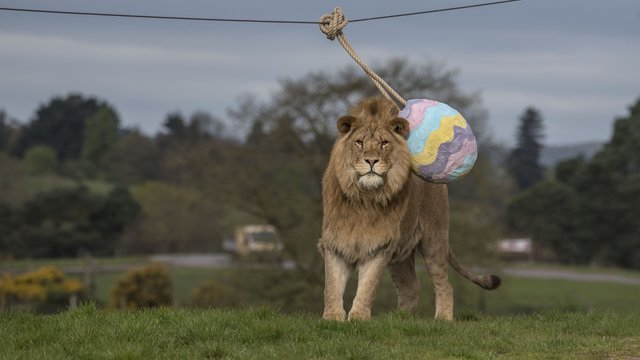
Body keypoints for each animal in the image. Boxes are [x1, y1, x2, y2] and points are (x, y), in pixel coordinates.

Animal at [320, 97, 500, 320]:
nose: (371, 160)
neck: (365, 198)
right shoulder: (335, 242)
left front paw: (359, 318)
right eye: (359, 142)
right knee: (410, 286)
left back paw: (442, 319)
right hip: (401, 254)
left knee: (444, 285)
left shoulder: (380, 247)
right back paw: (399, 319)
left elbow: (368, 286)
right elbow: (332, 285)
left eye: (384, 143)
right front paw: (332, 318)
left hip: (434, 239)